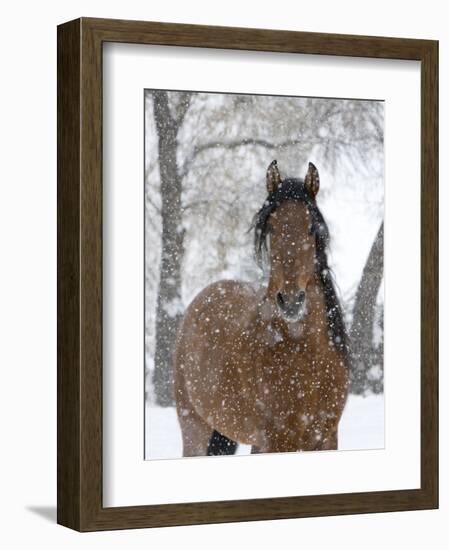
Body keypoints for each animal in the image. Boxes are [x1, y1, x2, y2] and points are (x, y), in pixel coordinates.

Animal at [173, 160, 348, 458]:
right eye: (272, 229)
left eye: (311, 228)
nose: (291, 300)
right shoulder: (273, 442)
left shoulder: (327, 439)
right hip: (195, 429)